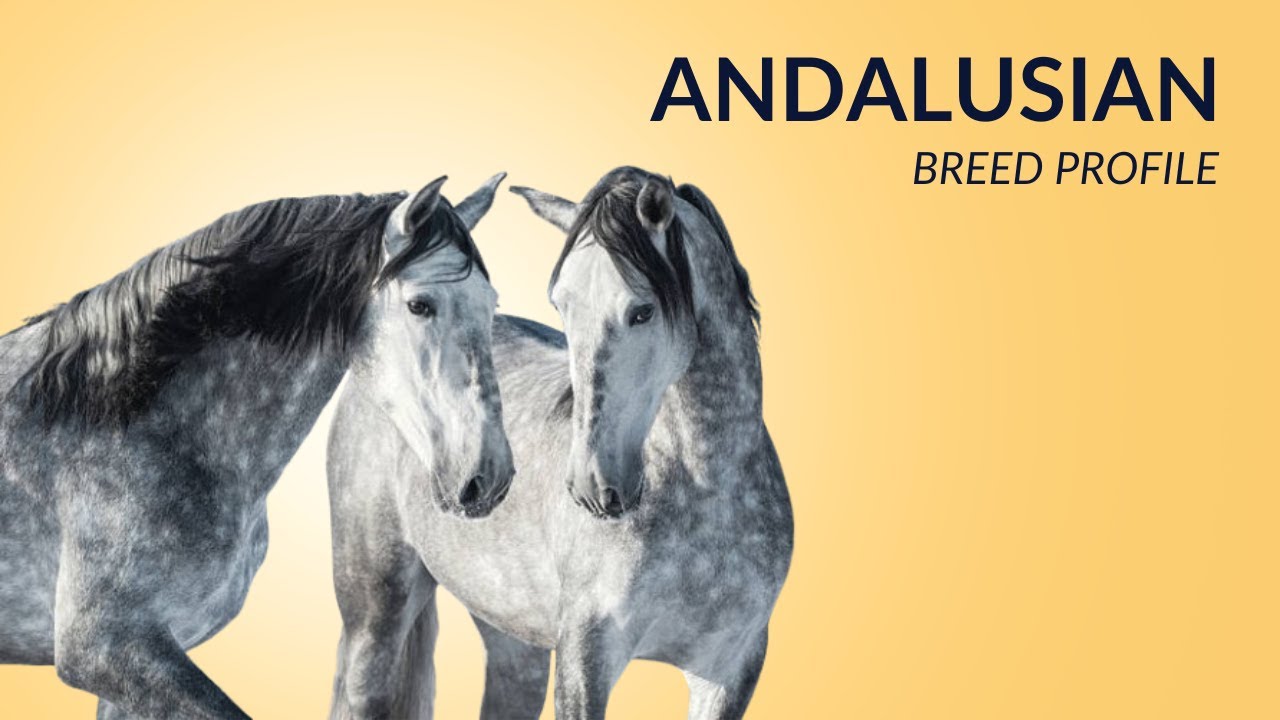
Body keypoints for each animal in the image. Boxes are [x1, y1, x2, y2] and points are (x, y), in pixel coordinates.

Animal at [326, 166, 793, 719]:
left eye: (643, 310)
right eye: (562, 306)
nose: (596, 485)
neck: (707, 493)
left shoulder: (729, 669)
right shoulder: (586, 656)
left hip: (512, 635)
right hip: (375, 609)